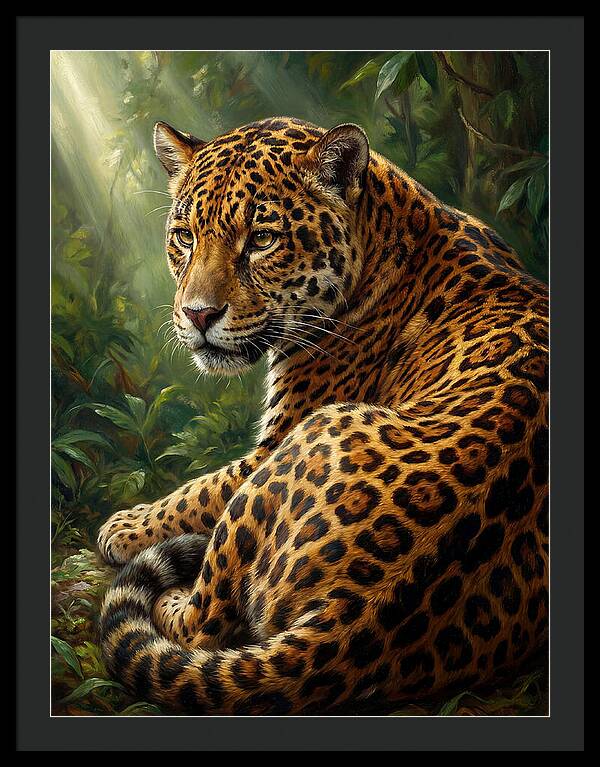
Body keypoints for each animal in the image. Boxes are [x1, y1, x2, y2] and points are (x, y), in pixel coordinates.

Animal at [98, 116, 549, 715]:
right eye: (186, 236)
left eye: (262, 239)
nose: (197, 314)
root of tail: (356, 615)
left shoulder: (276, 439)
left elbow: (199, 490)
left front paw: (125, 526)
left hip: (303, 443)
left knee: (203, 624)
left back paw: (173, 592)